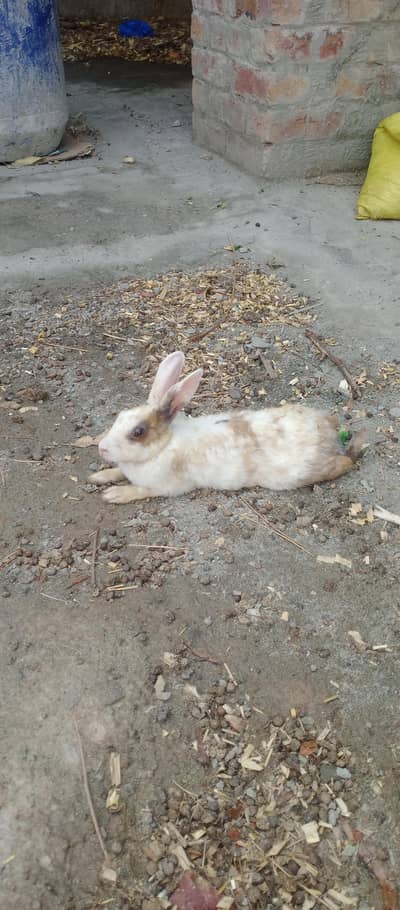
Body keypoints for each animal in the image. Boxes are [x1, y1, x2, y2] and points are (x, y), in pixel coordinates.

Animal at [90, 350, 366, 504]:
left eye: (138, 432)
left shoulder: (165, 487)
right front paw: (98, 477)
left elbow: (139, 489)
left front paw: (113, 495)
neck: (163, 446)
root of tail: (329, 432)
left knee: (345, 463)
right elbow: (117, 471)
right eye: (120, 416)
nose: (102, 448)